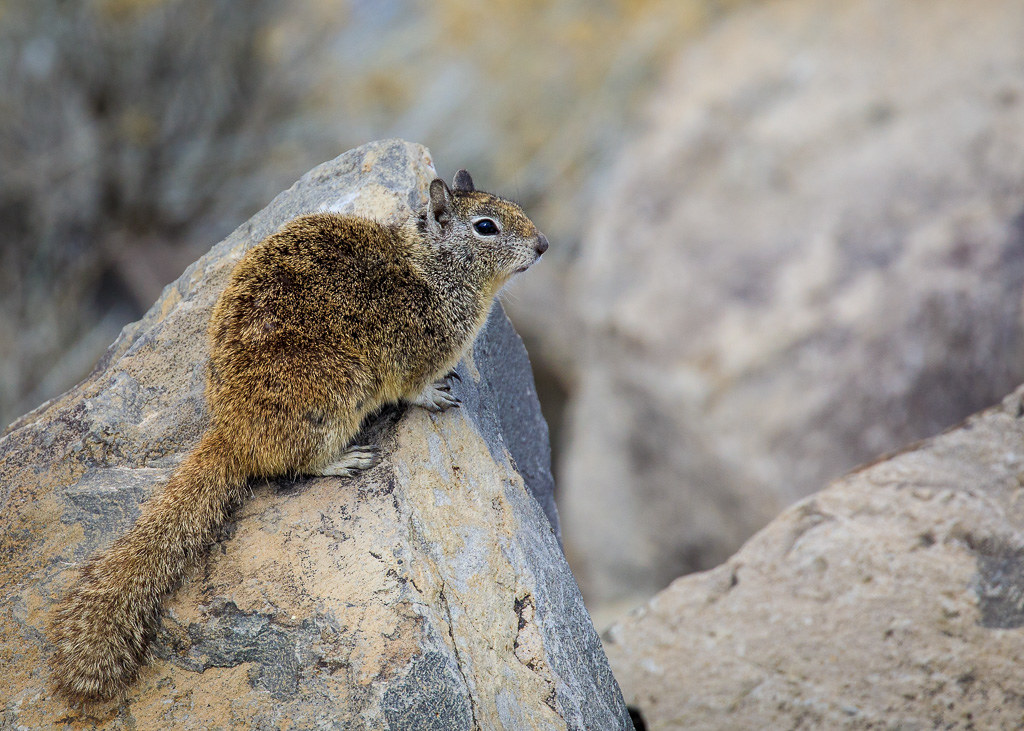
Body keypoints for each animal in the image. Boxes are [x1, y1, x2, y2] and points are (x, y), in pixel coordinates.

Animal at [47, 169, 549, 703]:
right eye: (486, 227)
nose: (543, 244)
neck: (434, 270)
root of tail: (232, 433)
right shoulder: (414, 356)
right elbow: (415, 388)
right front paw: (437, 394)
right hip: (340, 397)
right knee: (300, 462)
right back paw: (347, 460)